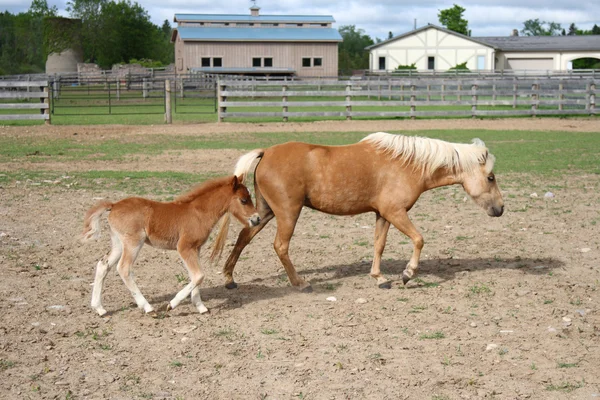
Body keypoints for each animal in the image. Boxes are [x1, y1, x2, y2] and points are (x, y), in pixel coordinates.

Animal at [81, 175, 258, 316]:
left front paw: (201, 307)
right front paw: (171, 305)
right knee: (124, 268)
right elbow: (199, 275)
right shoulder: (184, 247)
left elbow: (195, 276)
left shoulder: (195, 249)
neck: (199, 213)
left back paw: (99, 308)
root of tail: (114, 205)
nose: (256, 219)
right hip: (133, 242)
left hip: (119, 243)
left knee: (103, 264)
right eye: (243, 200)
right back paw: (148, 308)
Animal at [213, 131, 504, 290]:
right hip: (288, 213)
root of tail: (266, 153)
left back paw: (229, 278)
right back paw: (301, 283)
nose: (500, 208)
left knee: (243, 239)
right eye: (490, 178)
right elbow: (419, 239)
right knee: (280, 246)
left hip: (264, 212)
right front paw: (407, 274)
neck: (408, 164)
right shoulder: (396, 212)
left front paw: (379, 278)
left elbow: (379, 245)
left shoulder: (383, 215)